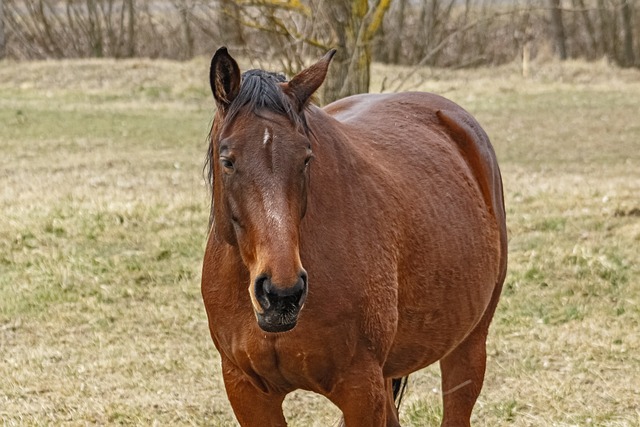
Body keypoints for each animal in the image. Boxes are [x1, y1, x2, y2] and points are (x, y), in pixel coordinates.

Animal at [202, 47, 508, 427]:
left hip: (467, 347)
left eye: (306, 158)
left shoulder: (360, 389)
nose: (282, 294)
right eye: (228, 160)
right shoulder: (247, 391)